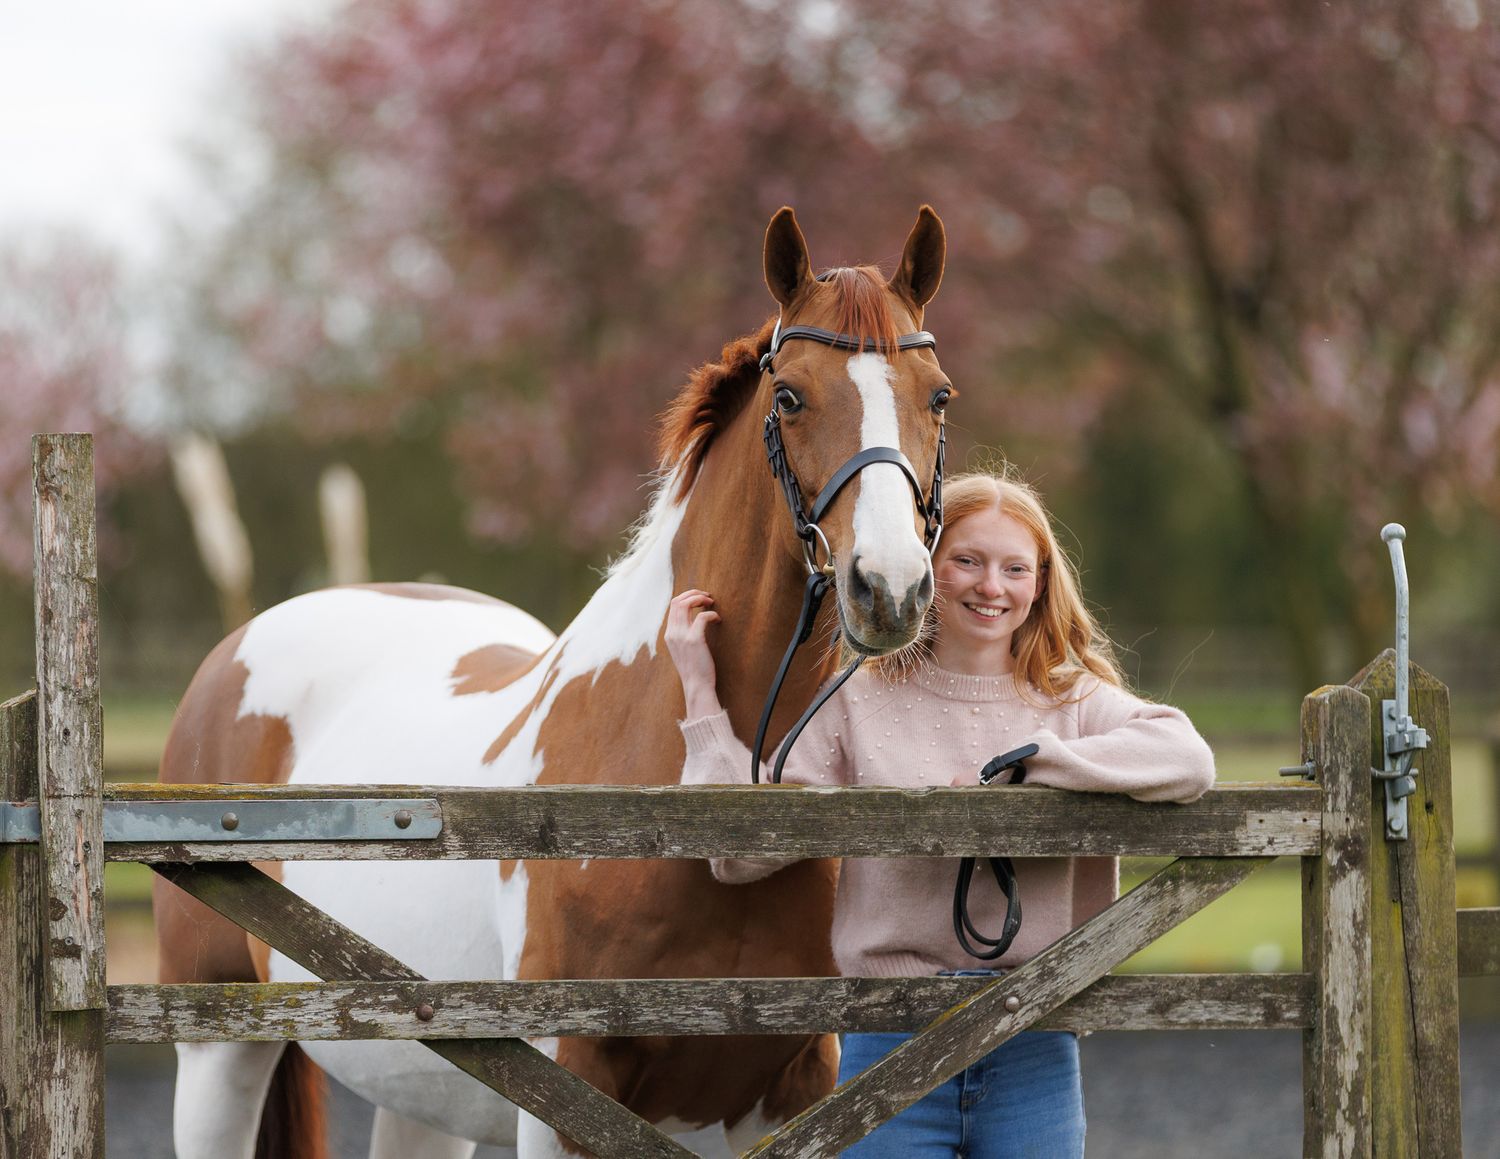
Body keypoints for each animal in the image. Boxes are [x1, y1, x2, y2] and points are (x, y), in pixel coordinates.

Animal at [152, 205, 952, 1159]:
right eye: (790, 395)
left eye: (939, 395)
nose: (891, 588)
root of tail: (243, 640)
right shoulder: (566, 1078)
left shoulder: (797, 1083)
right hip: (217, 1046)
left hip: (421, 1083)